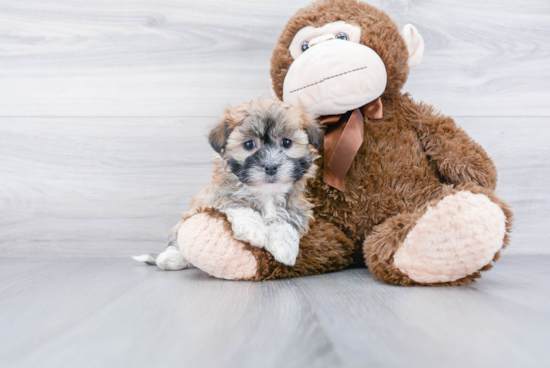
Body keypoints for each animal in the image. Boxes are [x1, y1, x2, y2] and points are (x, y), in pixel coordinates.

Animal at [134, 98, 324, 270]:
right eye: (249, 144)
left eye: (286, 142)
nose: (270, 166)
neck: (265, 192)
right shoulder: (217, 196)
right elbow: (238, 205)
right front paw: (256, 231)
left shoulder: (296, 205)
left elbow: (287, 221)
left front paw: (285, 247)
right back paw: (171, 258)